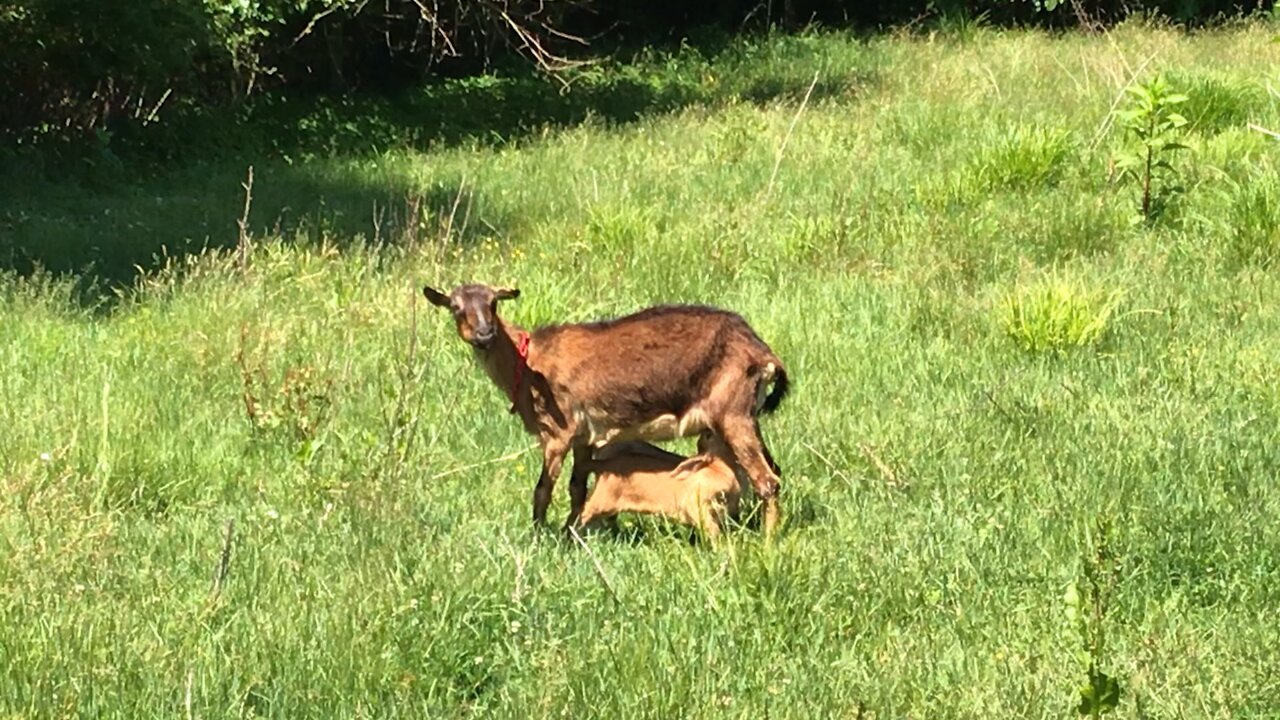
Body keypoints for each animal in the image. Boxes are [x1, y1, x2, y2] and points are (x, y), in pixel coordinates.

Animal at [576, 434, 742, 541]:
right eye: (709, 436)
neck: (718, 470)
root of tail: (604, 465)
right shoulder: (695, 504)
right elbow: (712, 529)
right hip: (601, 501)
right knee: (582, 514)